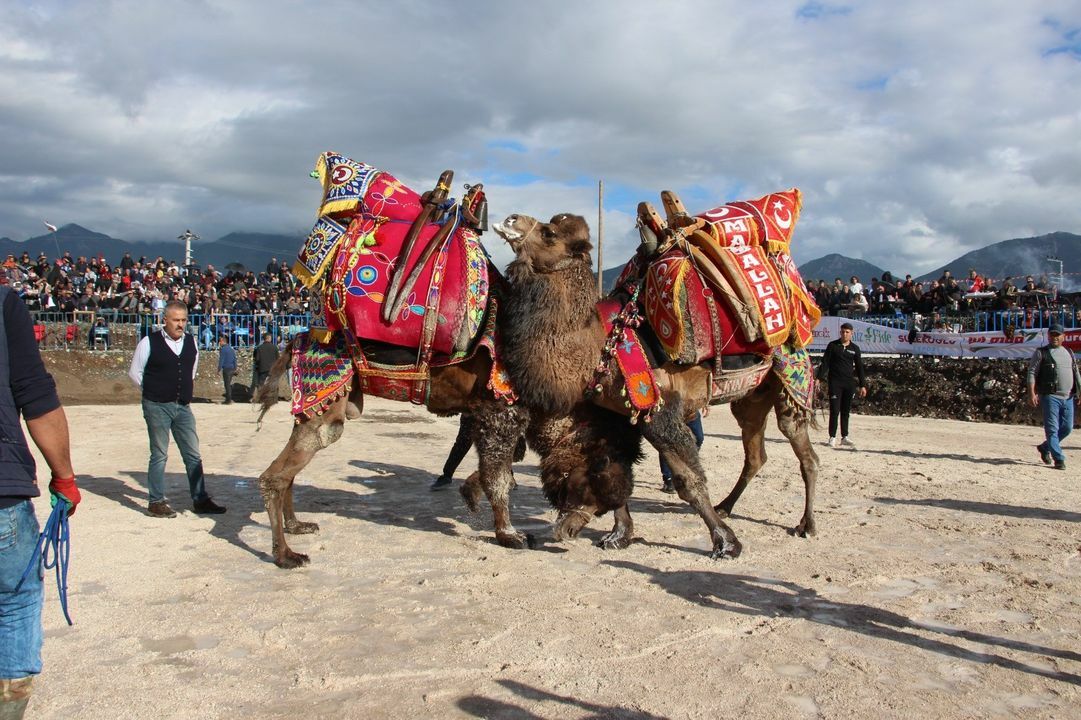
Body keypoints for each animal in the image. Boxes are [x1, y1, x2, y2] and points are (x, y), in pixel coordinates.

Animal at [495, 210, 812, 557]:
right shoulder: (621, 416)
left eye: (549, 233)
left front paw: (726, 542)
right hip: (751, 398)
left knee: (805, 455)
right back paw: (727, 505)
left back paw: (806, 525)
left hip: (791, 382)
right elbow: (618, 468)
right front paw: (619, 536)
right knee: (755, 454)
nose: (510, 219)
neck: (600, 348)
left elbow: (688, 481)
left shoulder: (660, 411)